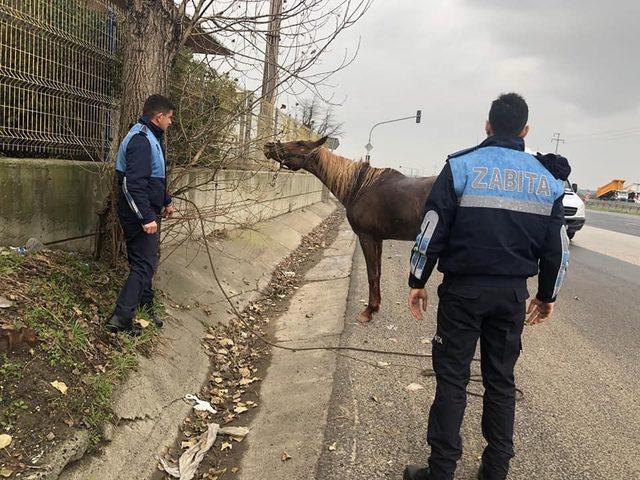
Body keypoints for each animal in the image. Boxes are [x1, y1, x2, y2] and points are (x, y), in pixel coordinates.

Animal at [262, 135, 438, 322]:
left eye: (300, 143)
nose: (268, 145)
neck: (360, 186)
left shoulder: (366, 237)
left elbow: (372, 274)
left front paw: (368, 311)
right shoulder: (378, 239)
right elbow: (378, 273)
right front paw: (375, 306)